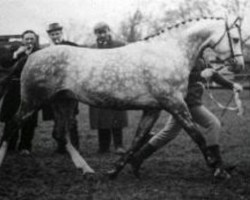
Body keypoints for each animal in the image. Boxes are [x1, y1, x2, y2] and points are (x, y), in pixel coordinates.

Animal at [0, 16, 245, 177]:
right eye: (235, 38)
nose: (240, 65)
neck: (167, 53)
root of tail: (31, 55)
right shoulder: (175, 104)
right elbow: (197, 136)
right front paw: (219, 170)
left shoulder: (154, 108)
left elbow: (138, 138)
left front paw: (115, 170)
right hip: (32, 102)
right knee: (12, 125)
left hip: (64, 101)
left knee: (61, 134)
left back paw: (86, 169)